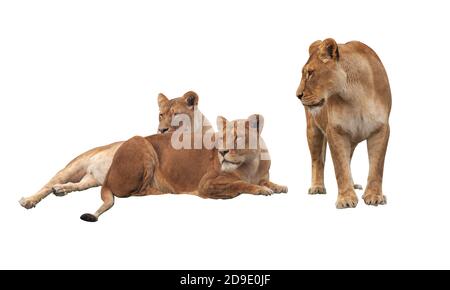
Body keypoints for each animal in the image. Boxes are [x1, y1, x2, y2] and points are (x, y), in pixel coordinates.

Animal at [18, 90, 207, 208]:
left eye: (176, 115)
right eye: (161, 115)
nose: (161, 130)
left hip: (91, 180)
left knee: (74, 185)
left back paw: (61, 190)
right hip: (72, 167)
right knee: (47, 186)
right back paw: (29, 200)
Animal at [80, 114, 288, 222]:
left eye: (237, 138)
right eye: (221, 138)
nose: (222, 152)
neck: (251, 164)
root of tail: (107, 177)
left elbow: (266, 181)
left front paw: (279, 186)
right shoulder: (206, 184)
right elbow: (239, 184)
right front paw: (261, 189)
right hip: (140, 142)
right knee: (136, 191)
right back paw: (161, 191)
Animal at [296, 38, 390, 208]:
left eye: (310, 73)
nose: (297, 95)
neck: (356, 95)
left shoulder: (381, 129)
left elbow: (377, 166)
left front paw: (374, 196)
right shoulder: (335, 131)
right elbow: (340, 167)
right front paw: (346, 199)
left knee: (349, 159)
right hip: (313, 130)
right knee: (317, 160)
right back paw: (317, 187)